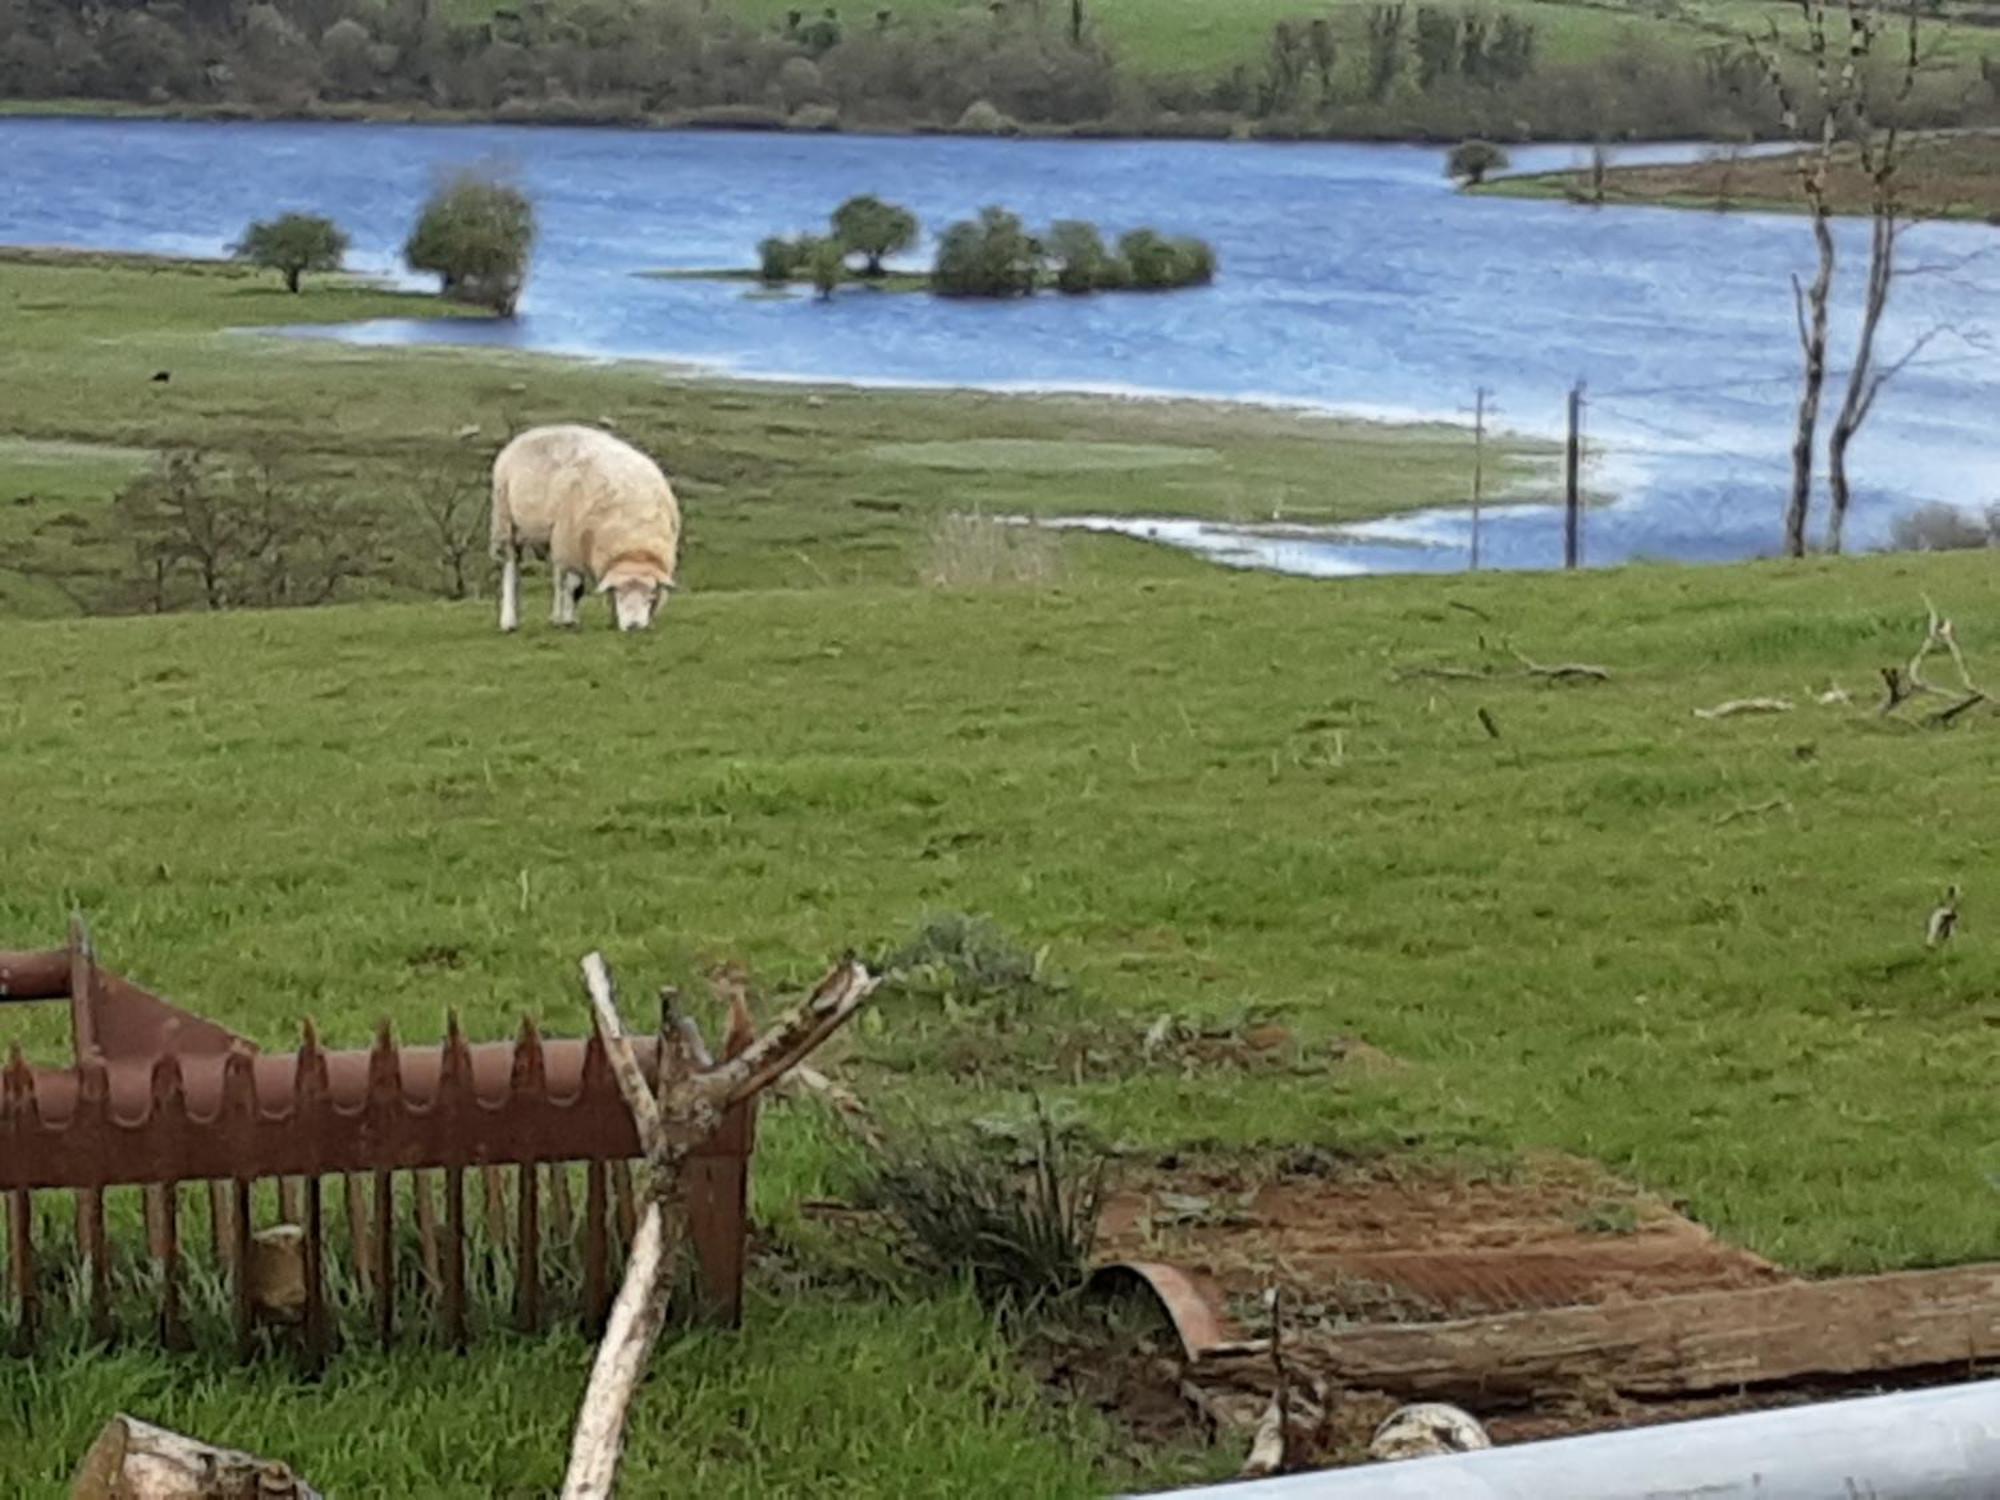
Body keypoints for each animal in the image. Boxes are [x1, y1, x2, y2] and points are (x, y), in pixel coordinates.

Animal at [494, 424, 684, 636]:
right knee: (511, 569)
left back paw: (554, 617)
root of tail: (534, 431)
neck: (634, 540)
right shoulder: (573, 545)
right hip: (507, 520)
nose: (633, 627)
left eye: (650, 595)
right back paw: (510, 620)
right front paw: (569, 621)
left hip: (554, 536)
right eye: (619, 594)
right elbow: (574, 586)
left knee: (555, 574)